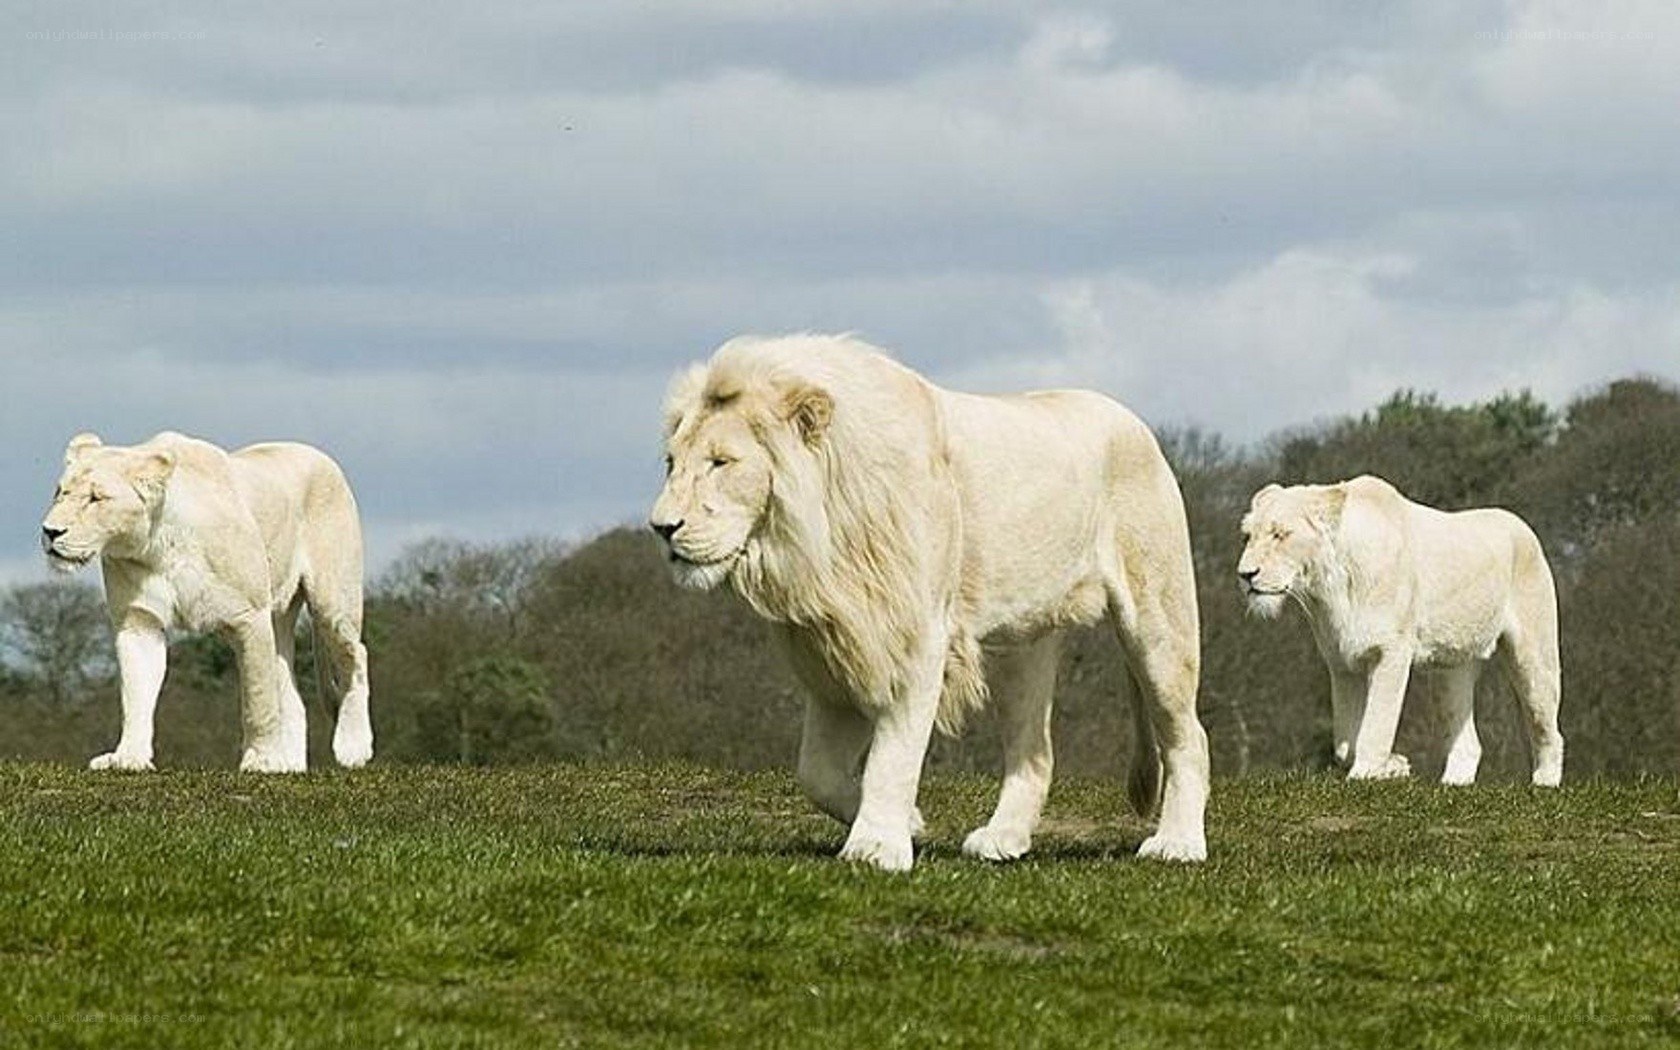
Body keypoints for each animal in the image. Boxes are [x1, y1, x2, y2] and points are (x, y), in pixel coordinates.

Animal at [41, 431, 373, 773]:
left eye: (96, 498)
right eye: (59, 493)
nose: (50, 532)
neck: (157, 544)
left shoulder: (250, 616)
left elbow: (258, 698)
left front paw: (261, 759)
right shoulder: (139, 621)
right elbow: (135, 694)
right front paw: (128, 757)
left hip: (332, 601)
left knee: (355, 655)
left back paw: (353, 747)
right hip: (279, 616)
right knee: (290, 691)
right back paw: (290, 765)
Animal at [650, 334, 1210, 871]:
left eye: (721, 463)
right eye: (672, 462)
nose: (661, 528)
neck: (814, 544)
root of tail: (1136, 424)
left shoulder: (912, 636)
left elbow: (892, 755)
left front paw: (877, 847)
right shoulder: (840, 647)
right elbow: (817, 772)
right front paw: (910, 823)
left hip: (1157, 617)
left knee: (1188, 737)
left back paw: (1178, 844)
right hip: (1020, 642)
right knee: (1034, 751)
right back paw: (1003, 839)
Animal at [1237, 475, 1563, 786]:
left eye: (1280, 534)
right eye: (1249, 536)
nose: (1245, 574)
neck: (1330, 587)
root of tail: (1522, 526)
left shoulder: (1391, 652)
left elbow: (1376, 724)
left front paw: (1366, 774)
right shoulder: (1342, 662)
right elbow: (1345, 743)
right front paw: (1394, 767)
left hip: (1533, 654)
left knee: (1547, 724)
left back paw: (1544, 782)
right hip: (1451, 669)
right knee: (1467, 741)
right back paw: (1452, 785)